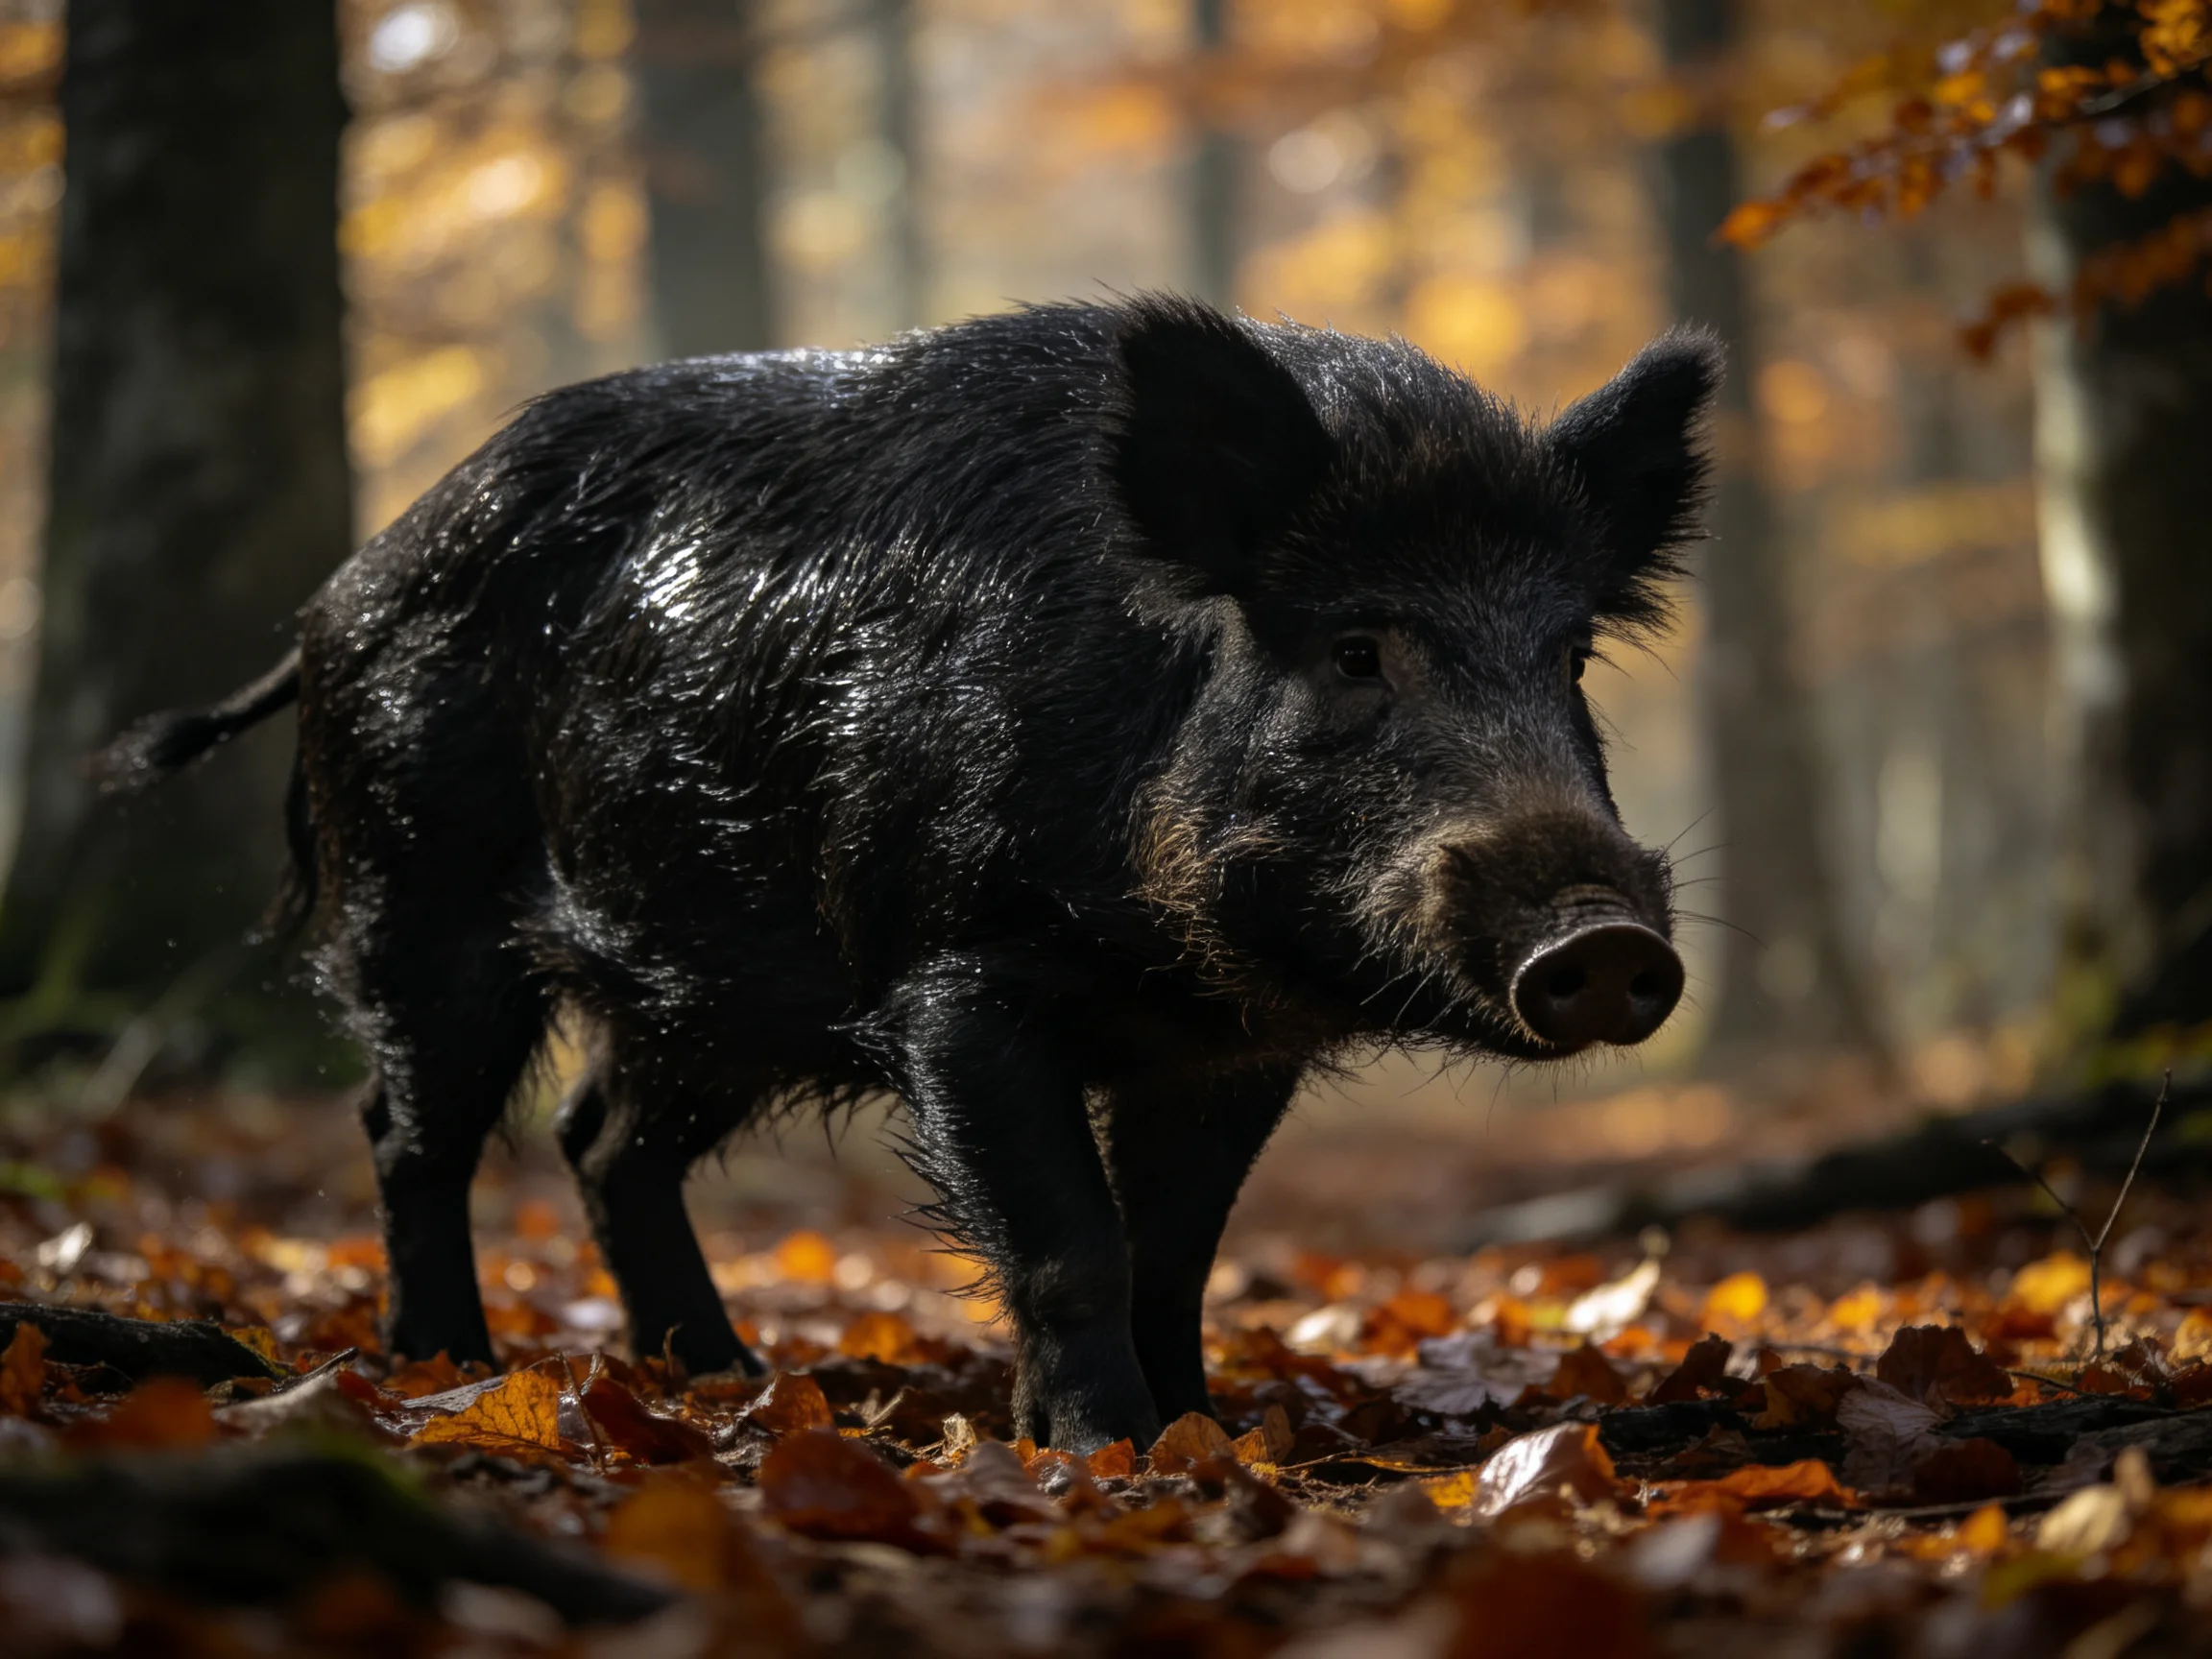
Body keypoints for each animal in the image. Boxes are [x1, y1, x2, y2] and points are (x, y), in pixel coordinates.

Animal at [100, 296, 1711, 1450]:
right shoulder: (953, 976)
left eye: (1569, 657)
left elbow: (1176, 1252)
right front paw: (1104, 1455)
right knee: (409, 1130)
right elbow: (1069, 1243)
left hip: (712, 992)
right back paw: (450, 1366)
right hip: (418, 893)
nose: (1602, 942)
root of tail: (339, 597)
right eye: (1357, 650)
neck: (1162, 954)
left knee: (600, 1138)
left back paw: (719, 1375)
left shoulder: (1231, 1044)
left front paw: (1204, 1436)